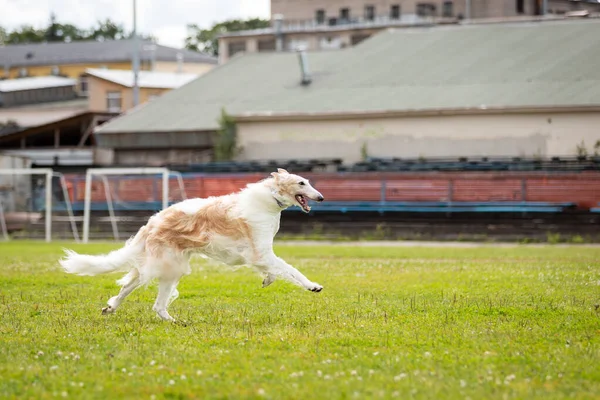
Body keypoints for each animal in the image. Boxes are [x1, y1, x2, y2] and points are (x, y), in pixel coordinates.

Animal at [59, 169, 324, 322]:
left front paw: (268, 279)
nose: (321, 197)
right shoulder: (261, 251)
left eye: (308, 182)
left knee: (129, 289)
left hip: (160, 267)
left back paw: (112, 308)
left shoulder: (260, 254)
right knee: (156, 304)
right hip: (168, 267)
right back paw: (173, 321)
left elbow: (274, 272)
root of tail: (152, 222)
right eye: (301, 183)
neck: (270, 198)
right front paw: (313, 286)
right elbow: (291, 270)